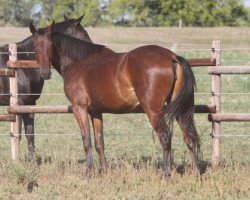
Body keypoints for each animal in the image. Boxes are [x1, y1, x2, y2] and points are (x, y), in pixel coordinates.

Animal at [0, 15, 92, 155]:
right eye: (84, 33)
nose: (45, 73)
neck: (21, 65)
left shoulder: (30, 102)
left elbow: (30, 132)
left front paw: (32, 159)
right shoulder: (19, 103)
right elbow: (18, 134)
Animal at [29, 22, 201, 177]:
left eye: (51, 45)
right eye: (36, 46)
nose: (45, 73)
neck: (79, 62)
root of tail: (171, 56)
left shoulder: (80, 109)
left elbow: (86, 141)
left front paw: (88, 172)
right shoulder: (96, 112)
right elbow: (99, 142)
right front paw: (103, 172)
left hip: (153, 110)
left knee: (165, 137)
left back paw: (166, 173)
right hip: (180, 110)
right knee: (189, 137)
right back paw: (196, 173)